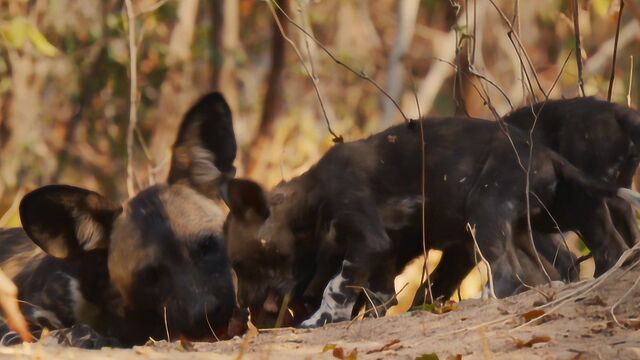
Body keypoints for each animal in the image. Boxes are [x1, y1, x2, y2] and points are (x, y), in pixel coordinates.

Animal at [224, 116, 640, 330]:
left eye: (241, 265)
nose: (243, 306)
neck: (309, 200)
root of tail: (546, 154)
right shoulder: (382, 254)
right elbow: (378, 295)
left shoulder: (366, 240)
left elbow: (336, 286)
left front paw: (322, 320)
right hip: (541, 220)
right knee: (559, 269)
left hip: (485, 213)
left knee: (506, 275)